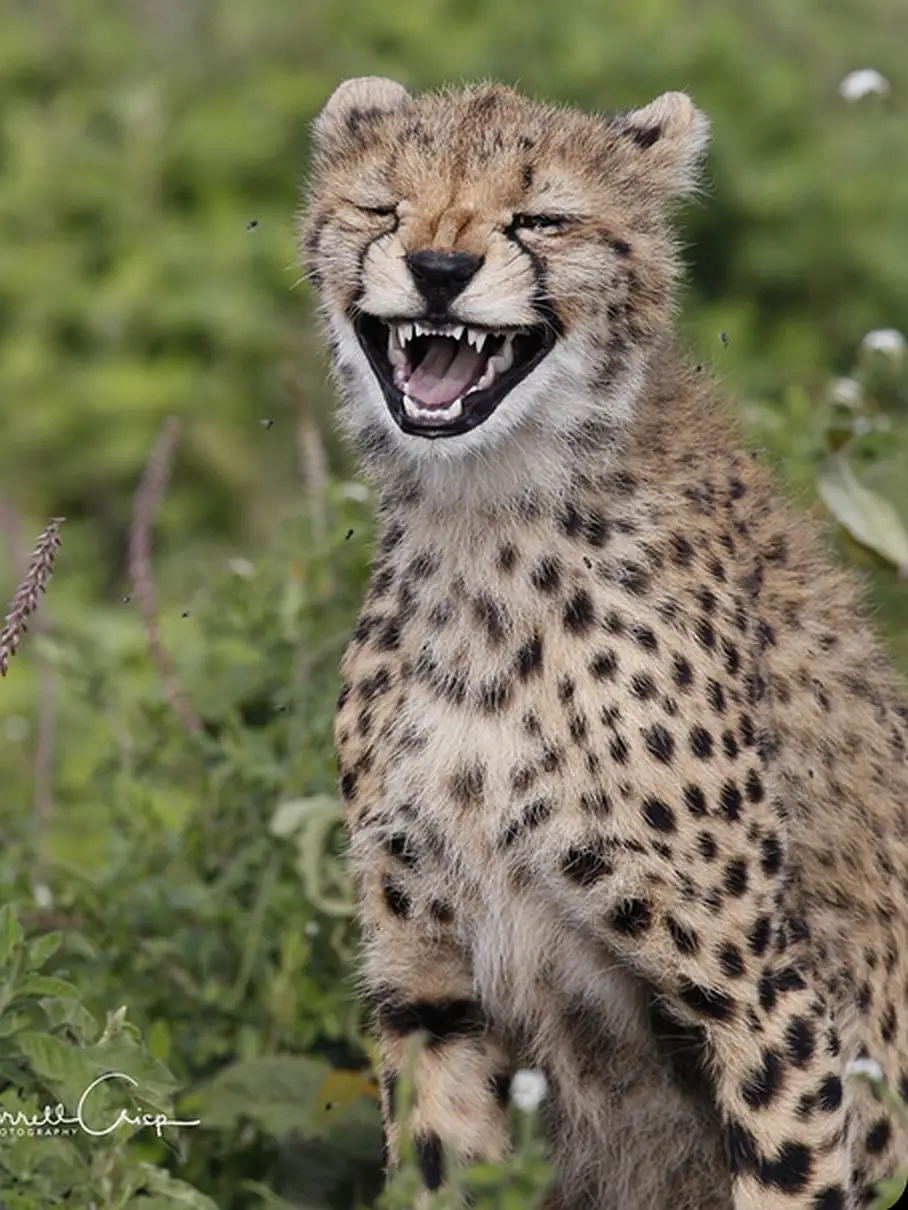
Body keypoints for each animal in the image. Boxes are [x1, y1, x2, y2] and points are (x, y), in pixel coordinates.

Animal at [300, 76, 908, 1210]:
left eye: (540, 218)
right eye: (381, 206)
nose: (437, 269)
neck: (485, 522)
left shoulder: (767, 1004)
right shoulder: (430, 986)